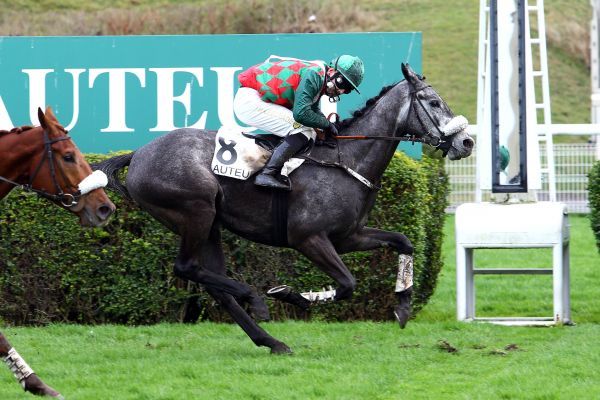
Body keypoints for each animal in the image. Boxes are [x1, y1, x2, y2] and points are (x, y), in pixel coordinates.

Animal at [95, 64, 474, 354]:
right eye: (433, 102)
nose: (466, 142)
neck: (346, 160)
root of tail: (139, 154)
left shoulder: (348, 236)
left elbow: (403, 241)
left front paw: (404, 305)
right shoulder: (309, 238)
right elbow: (347, 284)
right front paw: (292, 295)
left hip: (211, 225)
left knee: (212, 283)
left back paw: (271, 341)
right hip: (195, 212)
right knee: (186, 267)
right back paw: (257, 300)